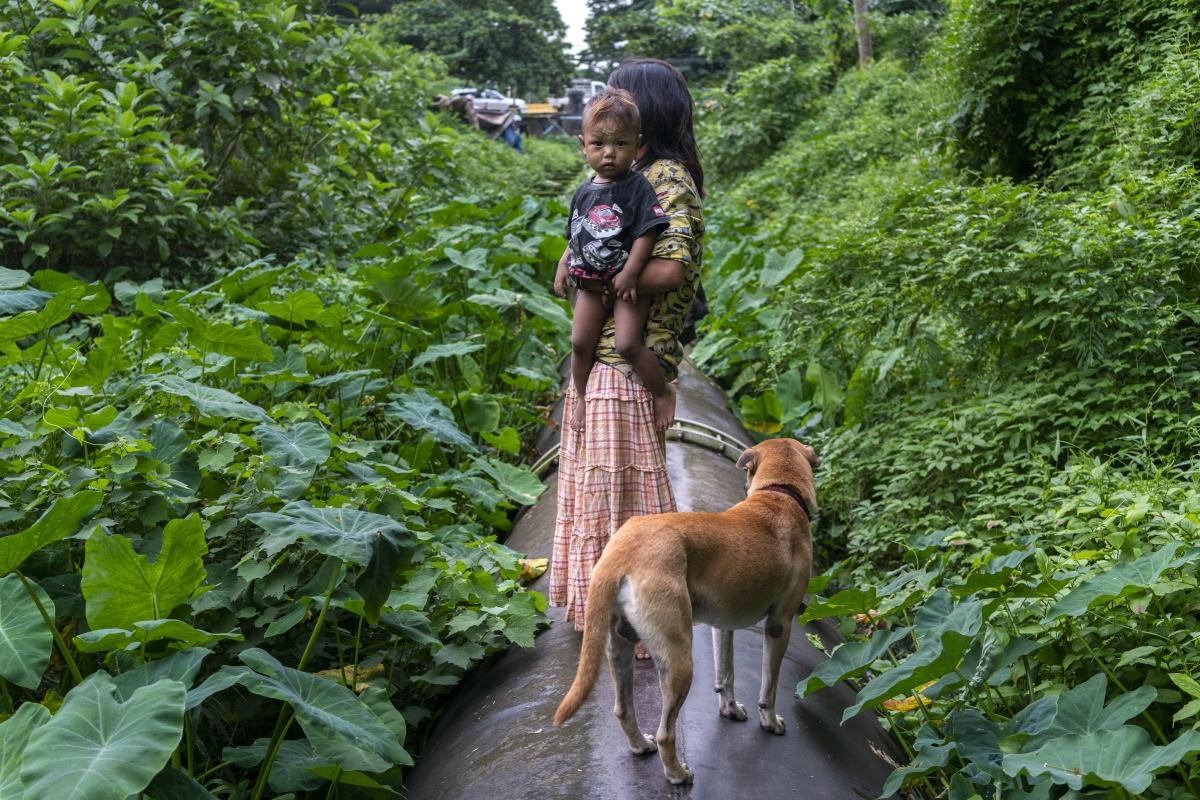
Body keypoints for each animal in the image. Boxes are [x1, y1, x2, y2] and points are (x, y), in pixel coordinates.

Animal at [549, 438, 816, 782]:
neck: (781, 492)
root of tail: (620, 553)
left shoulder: (723, 626)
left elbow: (726, 673)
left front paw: (729, 709)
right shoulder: (779, 626)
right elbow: (768, 686)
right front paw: (770, 722)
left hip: (619, 648)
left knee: (624, 709)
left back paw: (641, 746)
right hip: (679, 659)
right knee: (666, 732)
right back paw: (677, 772)